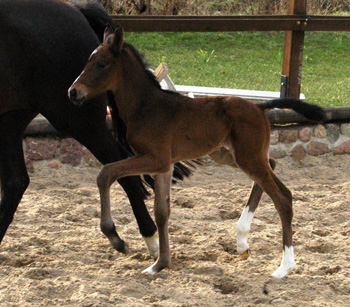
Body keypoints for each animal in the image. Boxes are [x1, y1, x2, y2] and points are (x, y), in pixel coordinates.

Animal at [68, 25, 326, 280]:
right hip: (229, 154)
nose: (73, 92)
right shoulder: (164, 165)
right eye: (88, 61)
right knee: (273, 167)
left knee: (283, 198)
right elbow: (161, 212)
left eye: (102, 63)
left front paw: (114, 236)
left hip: (247, 157)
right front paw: (160, 264)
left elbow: (106, 173)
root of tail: (259, 107)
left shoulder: (156, 159)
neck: (146, 107)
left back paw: (284, 267)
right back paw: (242, 241)